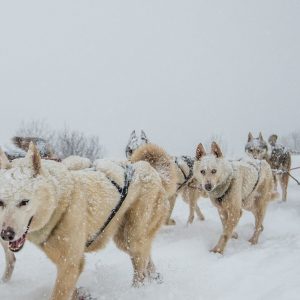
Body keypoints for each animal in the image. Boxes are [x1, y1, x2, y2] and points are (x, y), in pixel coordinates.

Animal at [0, 142, 176, 298]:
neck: (60, 205)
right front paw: (82, 294)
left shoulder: (69, 264)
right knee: (146, 259)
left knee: (140, 270)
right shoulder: (69, 264)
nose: (6, 234)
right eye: (1, 202)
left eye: (24, 202)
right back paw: (156, 278)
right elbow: (72, 290)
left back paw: (136, 292)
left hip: (132, 236)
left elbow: (60, 293)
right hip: (125, 240)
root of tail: (151, 170)